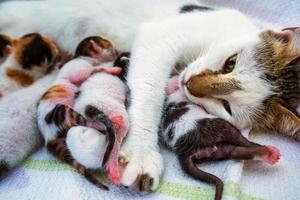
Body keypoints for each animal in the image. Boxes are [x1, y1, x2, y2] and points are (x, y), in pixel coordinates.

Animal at [38, 35, 120, 189]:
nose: (118, 50)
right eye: (109, 45)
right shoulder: (76, 68)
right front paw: (113, 69)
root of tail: (49, 138)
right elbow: (89, 70)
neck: (82, 56)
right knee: (87, 122)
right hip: (62, 113)